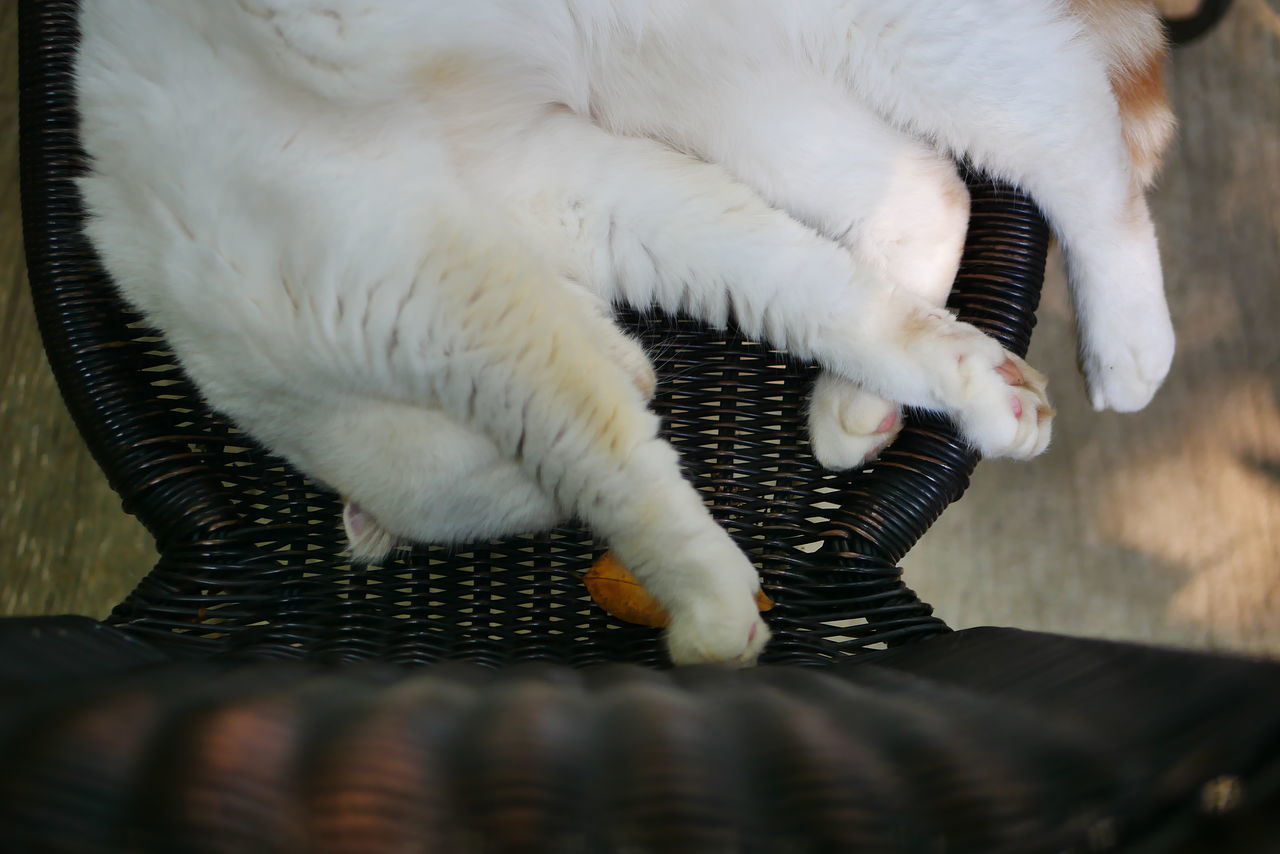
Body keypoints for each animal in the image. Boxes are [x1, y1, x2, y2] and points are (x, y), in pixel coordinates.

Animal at [72, 0, 1172, 665]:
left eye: (527, 480)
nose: (649, 389)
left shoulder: (462, 303)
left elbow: (612, 469)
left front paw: (705, 604)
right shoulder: (580, 190)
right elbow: (805, 293)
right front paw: (972, 384)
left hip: (895, 44)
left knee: (1078, 145)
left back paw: (1128, 346)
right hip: (707, 87)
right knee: (927, 185)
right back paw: (859, 408)